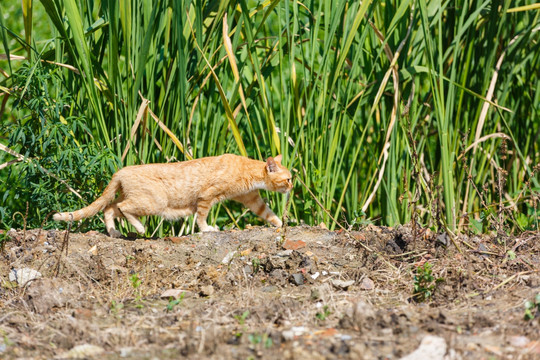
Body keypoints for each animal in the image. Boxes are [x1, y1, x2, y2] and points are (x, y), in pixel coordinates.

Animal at [52, 154, 294, 236]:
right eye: (288, 179)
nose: (292, 187)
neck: (247, 170)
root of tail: (120, 171)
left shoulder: (252, 198)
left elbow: (268, 213)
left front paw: (280, 224)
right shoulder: (207, 196)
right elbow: (201, 217)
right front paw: (207, 229)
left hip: (133, 197)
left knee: (109, 208)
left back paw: (114, 232)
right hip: (154, 202)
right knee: (122, 208)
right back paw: (140, 229)